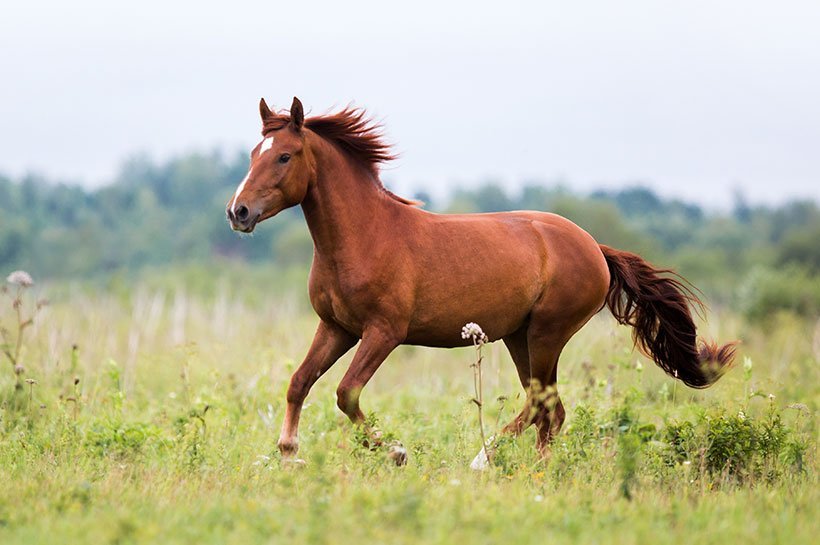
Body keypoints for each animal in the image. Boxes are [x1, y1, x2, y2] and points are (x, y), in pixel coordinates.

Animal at [224, 95, 736, 462]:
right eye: (252, 153)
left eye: (285, 156)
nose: (238, 212)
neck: (364, 236)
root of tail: (596, 249)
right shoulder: (336, 328)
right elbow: (299, 382)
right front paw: (288, 453)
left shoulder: (384, 332)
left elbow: (345, 393)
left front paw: (396, 452)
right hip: (518, 337)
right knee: (550, 408)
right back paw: (536, 469)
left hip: (548, 332)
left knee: (541, 404)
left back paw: (484, 460)